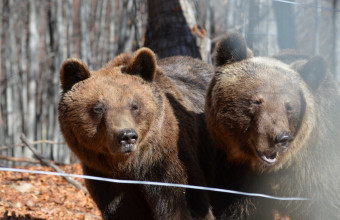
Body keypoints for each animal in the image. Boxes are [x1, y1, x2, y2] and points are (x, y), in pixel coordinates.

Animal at [57, 48, 214, 220]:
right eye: (98, 108)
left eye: (134, 105)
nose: (127, 136)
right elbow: (125, 211)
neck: (132, 165)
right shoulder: (106, 181)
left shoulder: (167, 166)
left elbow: (184, 206)